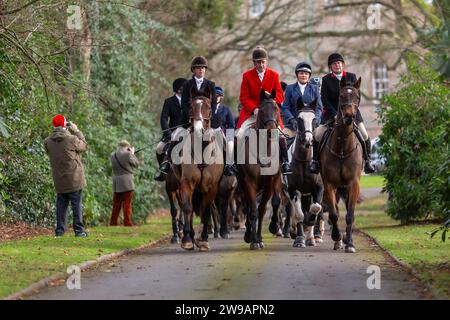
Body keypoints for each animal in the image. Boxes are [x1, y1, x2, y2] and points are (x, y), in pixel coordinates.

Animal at [171, 85, 223, 252]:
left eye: (208, 106)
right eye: (191, 106)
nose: (199, 129)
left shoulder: (212, 187)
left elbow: (206, 211)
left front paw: (203, 239)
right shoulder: (186, 183)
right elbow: (188, 208)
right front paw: (187, 239)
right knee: (189, 207)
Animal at [236, 89, 282, 250]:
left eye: (277, 109)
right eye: (261, 110)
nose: (271, 131)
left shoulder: (272, 182)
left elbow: (267, 207)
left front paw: (268, 231)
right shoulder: (249, 182)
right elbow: (254, 211)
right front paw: (254, 240)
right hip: (242, 184)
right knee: (248, 207)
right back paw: (248, 235)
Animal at [284, 97, 324, 248]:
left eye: (314, 120)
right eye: (299, 120)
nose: (308, 140)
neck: (303, 161)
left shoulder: (318, 188)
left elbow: (316, 208)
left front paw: (309, 226)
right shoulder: (293, 189)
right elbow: (299, 215)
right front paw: (300, 239)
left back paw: (311, 237)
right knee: (294, 210)